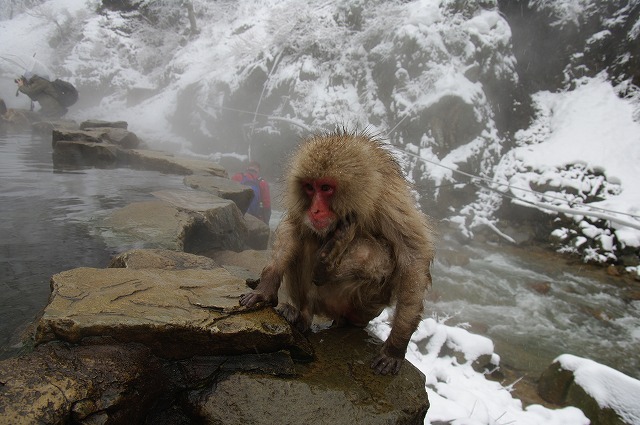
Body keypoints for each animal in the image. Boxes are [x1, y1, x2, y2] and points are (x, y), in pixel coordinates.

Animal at [240, 129, 436, 374]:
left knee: (377, 254)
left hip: (358, 305)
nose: (315, 210)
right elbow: (293, 228)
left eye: (326, 188)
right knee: (308, 237)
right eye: (310, 187)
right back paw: (301, 314)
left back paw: (329, 264)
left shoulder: (388, 200)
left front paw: (395, 347)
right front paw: (265, 288)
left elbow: (413, 257)